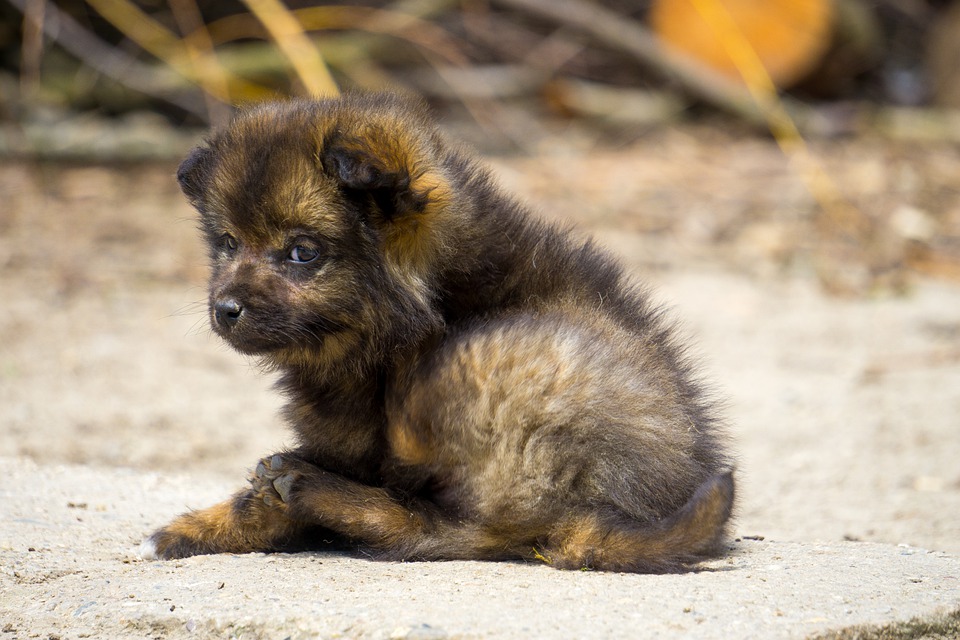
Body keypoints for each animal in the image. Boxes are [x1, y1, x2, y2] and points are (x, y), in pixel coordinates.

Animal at [139, 90, 732, 568]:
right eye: (228, 243)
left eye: (302, 252)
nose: (225, 309)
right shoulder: (340, 439)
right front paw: (198, 528)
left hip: (475, 367)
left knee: (471, 532)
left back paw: (316, 490)